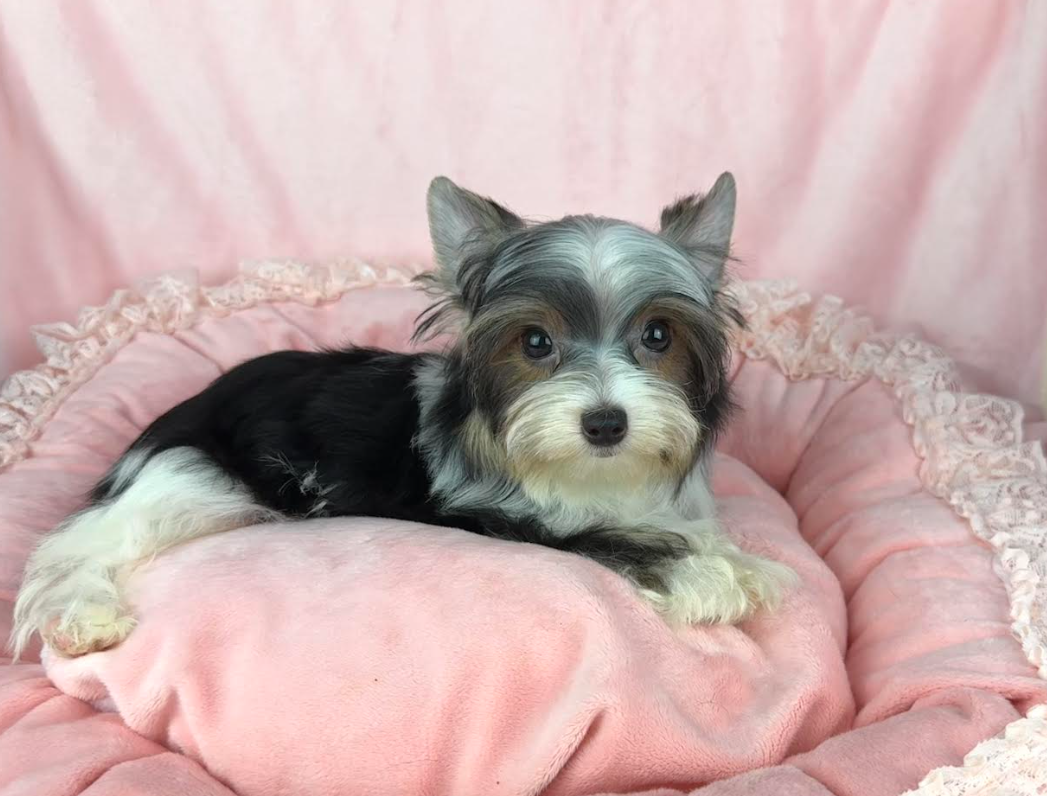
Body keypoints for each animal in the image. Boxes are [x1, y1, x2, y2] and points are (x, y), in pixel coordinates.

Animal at [10, 173, 795, 659]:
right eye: (534, 343)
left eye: (658, 336)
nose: (606, 424)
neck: (593, 473)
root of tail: (187, 404)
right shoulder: (490, 515)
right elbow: (605, 537)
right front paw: (709, 579)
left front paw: (731, 559)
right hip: (196, 476)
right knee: (82, 542)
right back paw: (81, 613)